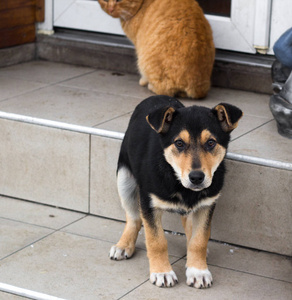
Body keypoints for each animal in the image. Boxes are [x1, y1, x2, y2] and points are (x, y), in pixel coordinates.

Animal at [109, 95, 242, 288]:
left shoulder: (207, 205)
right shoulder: (148, 202)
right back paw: (123, 245)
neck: (176, 179)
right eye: (179, 143)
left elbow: (199, 239)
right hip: (124, 178)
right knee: (134, 218)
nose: (196, 177)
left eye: (211, 143)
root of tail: (156, 96)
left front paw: (198, 270)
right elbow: (156, 240)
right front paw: (162, 272)